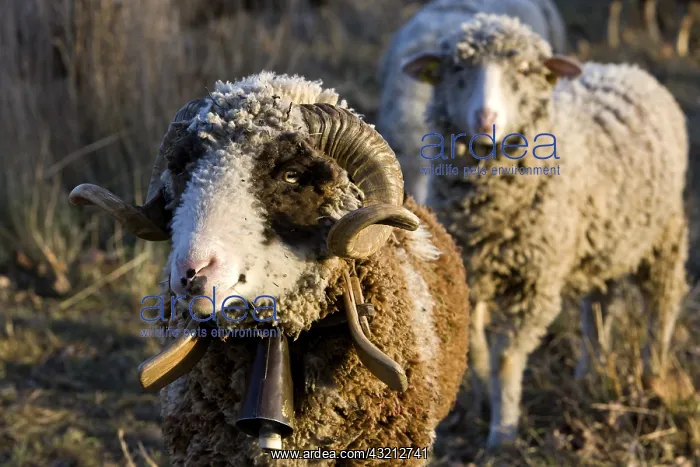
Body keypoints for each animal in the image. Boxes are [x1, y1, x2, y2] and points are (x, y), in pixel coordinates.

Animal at [401, 13, 689, 447]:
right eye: (458, 68)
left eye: (523, 70)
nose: (486, 120)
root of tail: (625, 67)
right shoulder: (470, 271)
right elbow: (478, 347)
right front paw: (482, 397)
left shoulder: (534, 285)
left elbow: (505, 359)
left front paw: (502, 433)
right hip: (603, 242)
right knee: (598, 306)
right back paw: (589, 372)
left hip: (663, 236)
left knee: (662, 304)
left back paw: (651, 378)